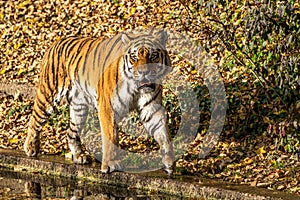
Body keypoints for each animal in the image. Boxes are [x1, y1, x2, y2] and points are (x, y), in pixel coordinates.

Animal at [23, 28, 176, 174]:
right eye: (134, 57)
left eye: (153, 56)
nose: (144, 72)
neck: (135, 87)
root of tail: (55, 42)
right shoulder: (108, 108)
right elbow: (110, 138)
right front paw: (109, 165)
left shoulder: (151, 108)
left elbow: (163, 133)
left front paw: (169, 162)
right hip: (48, 95)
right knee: (34, 120)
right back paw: (30, 148)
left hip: (79, 108)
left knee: (71, 133)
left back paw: (79, 156)